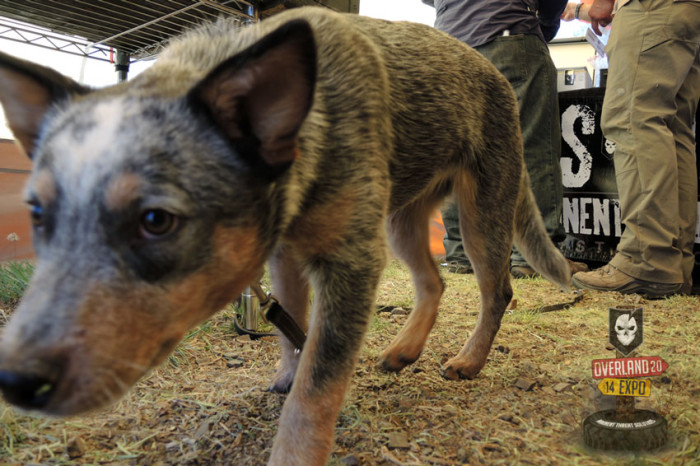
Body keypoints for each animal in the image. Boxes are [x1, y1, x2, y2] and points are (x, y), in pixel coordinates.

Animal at [0, 7, 568, 466]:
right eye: (37, 213)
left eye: (156, 220)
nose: (14, 381)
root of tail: (495, 74)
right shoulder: (285, 254)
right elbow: (292, 327)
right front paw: (287, 372)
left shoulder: (352, 264)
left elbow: (315, 392)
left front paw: (295, 449)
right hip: (402, 221)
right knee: (434, 282)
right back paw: (404, 350)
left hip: (482, 212)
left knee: (497, 291)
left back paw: (469, 360)